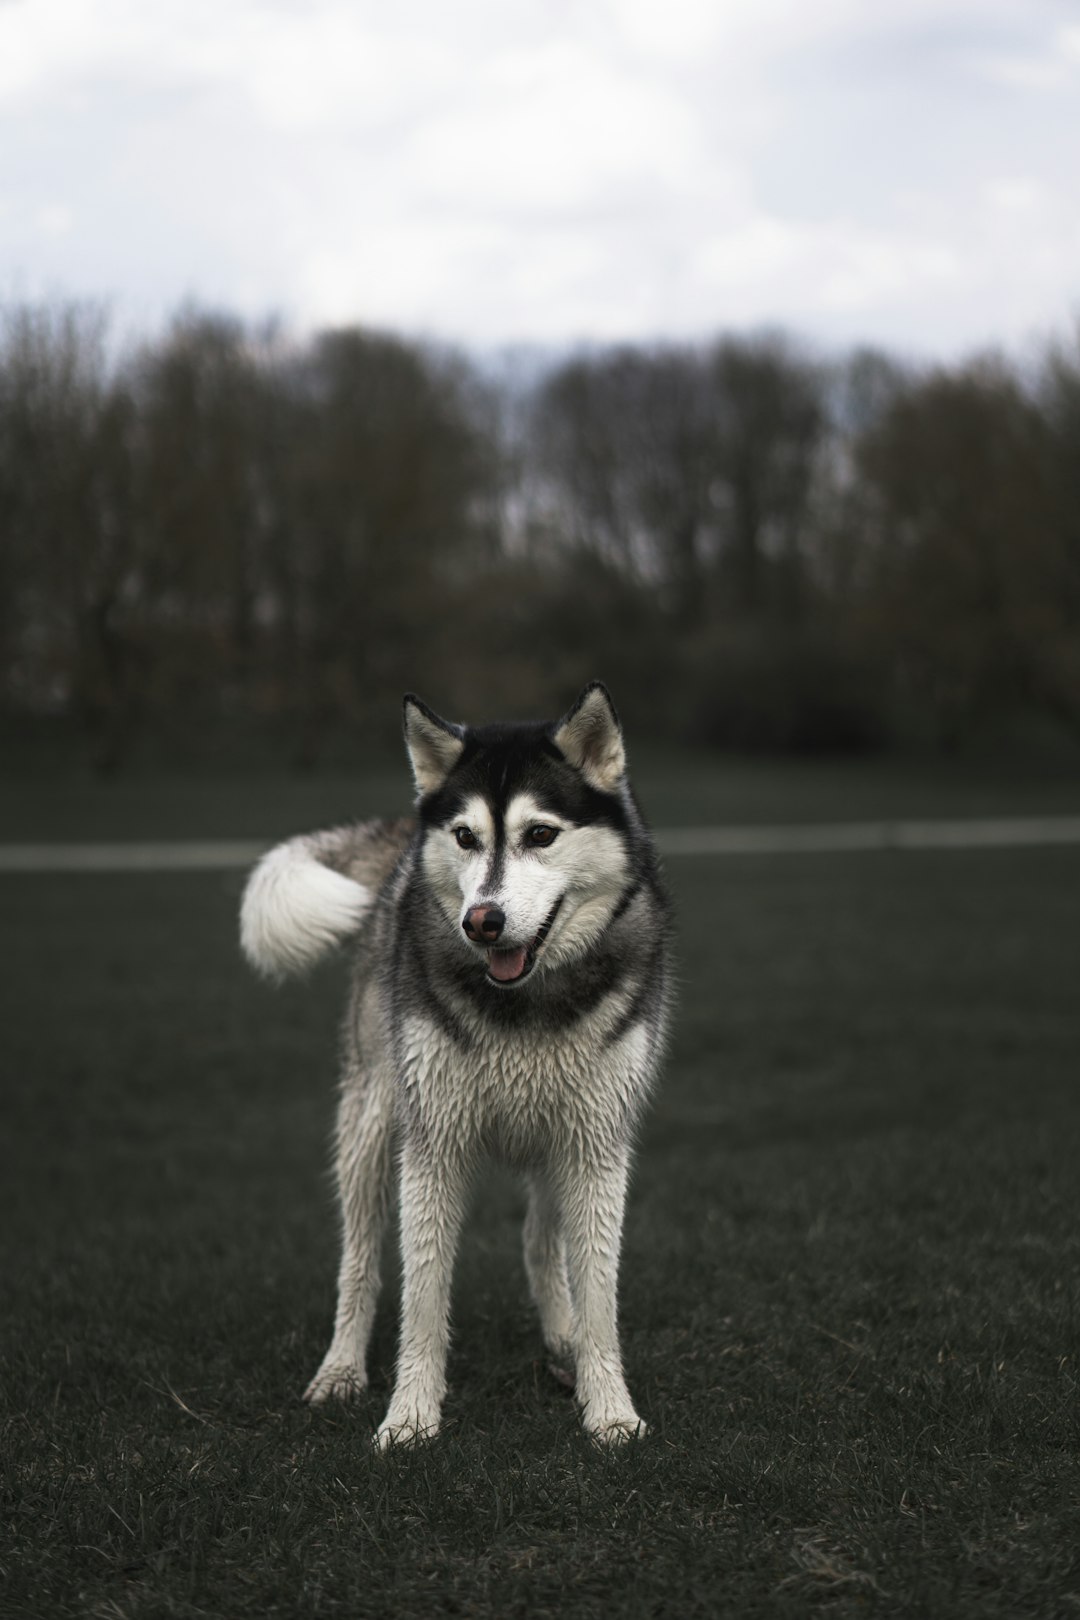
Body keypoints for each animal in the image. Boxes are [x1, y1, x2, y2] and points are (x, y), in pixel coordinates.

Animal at [241, 680, 670, 1445]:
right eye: (467, 836)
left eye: (541, 835)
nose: (482, 921)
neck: (525, 1004)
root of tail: (402, 852)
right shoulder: (432, 1143)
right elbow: (422, 1293)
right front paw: (410, 1414)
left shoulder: (595, 1142)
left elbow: (597, 1292)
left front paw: (610, 1409)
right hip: (371, 1121)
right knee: (359, 1259)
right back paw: (341, 1368)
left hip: (554, 1140)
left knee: (539, 1242)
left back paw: (561, 1343)